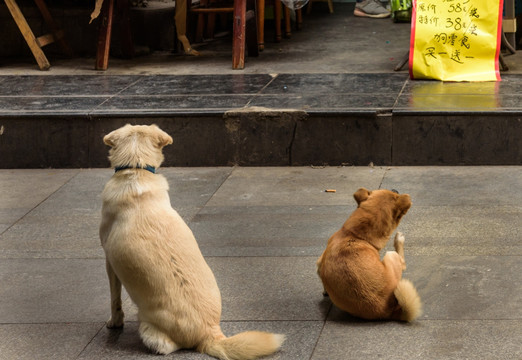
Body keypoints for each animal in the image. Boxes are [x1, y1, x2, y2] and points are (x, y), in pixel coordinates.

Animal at [99, 123, 282, 358]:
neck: (136, 169)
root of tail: (210, 333)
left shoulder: (109, 261)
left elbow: (115, 299)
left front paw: (114, 322)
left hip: (149, 327)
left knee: (164, 346)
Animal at [314, 188, 420, 320]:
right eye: (394, 194)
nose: (395, 189)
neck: (355, 235)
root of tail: (389, 311)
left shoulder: (320, 263)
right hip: (391, 255)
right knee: (402, 262)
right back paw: (399, 239)